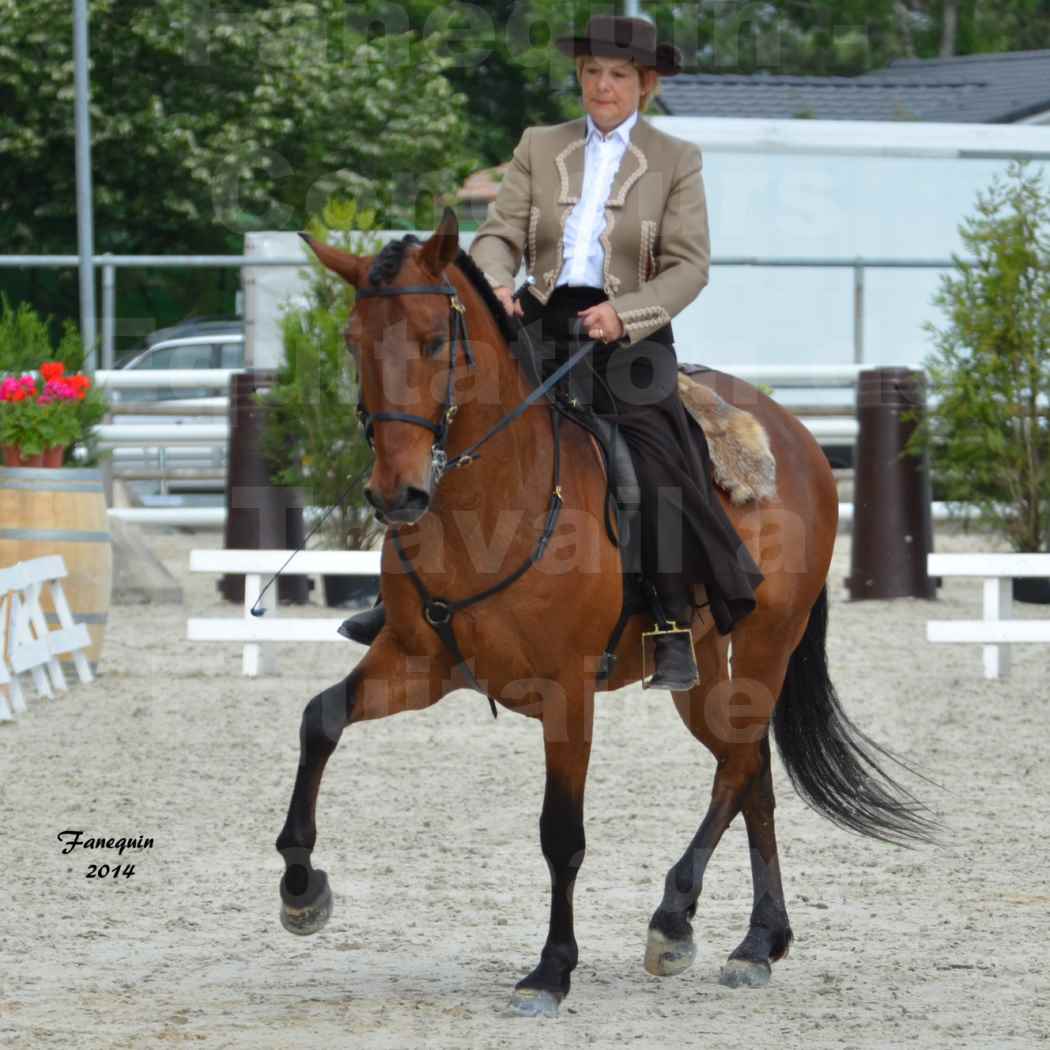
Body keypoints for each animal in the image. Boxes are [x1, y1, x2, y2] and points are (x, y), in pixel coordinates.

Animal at [275, 204, 932, 1016]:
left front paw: (551, 971)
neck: (492, 502)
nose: (396, 494)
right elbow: (320, 720)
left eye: (434, 340)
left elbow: (562, 833)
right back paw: (757, 942)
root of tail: (799, 435)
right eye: (353, 344)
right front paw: (301, 888)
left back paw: (675, 919)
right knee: (751, 773)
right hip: (704, 667)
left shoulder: (567, 692)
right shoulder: (418, 663)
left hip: (768, 642)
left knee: (740, 765)